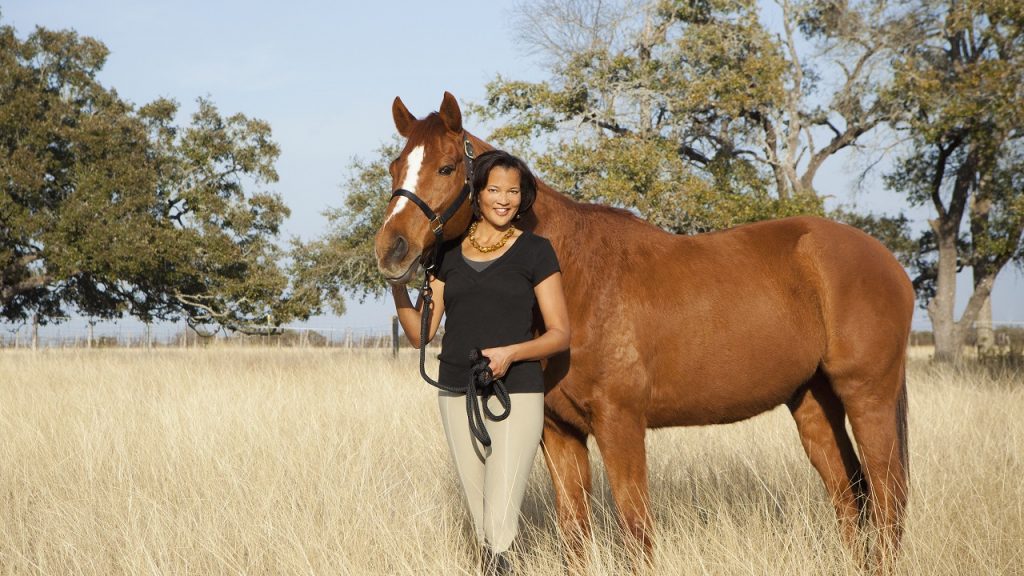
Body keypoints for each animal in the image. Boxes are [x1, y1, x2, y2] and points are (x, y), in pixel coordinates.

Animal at [374, 92, 913, 572]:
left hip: (867, 396)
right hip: (813, 402)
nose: (391, 250)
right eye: (396, 168)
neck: (576, 277)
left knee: (888, 496)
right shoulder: (560, 434)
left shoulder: (621, 425)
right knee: (850, 496)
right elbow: (575, 535)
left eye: (447, 168)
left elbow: (635, 532)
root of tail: (886, 261)